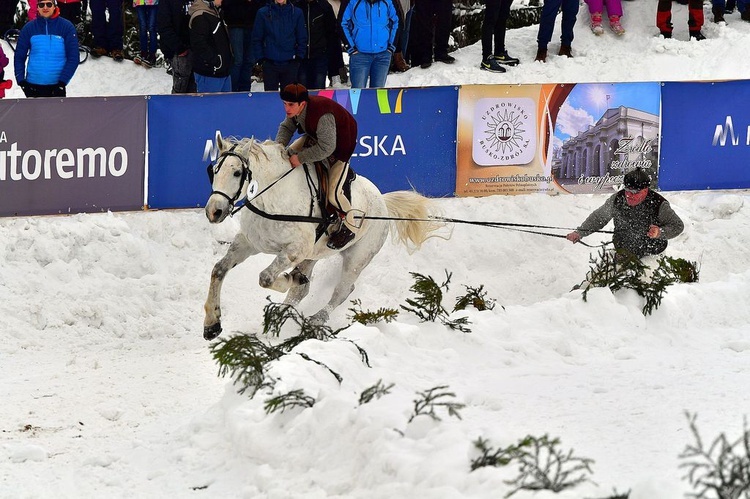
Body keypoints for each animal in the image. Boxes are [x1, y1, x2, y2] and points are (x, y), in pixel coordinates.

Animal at [203, 133, 444, 340]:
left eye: (237, 173)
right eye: (213, 171)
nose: (214, 211)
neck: (273, 198)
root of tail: (382, 201)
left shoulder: (294, 250)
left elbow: (266, 278)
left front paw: (290, 278)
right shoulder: (249, 242)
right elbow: (219, 270)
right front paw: (212, 324)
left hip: (357, 259)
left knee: (342, 290)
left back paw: (315, 318)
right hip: (313, 254)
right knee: (301, 291)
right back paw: (279, 315)